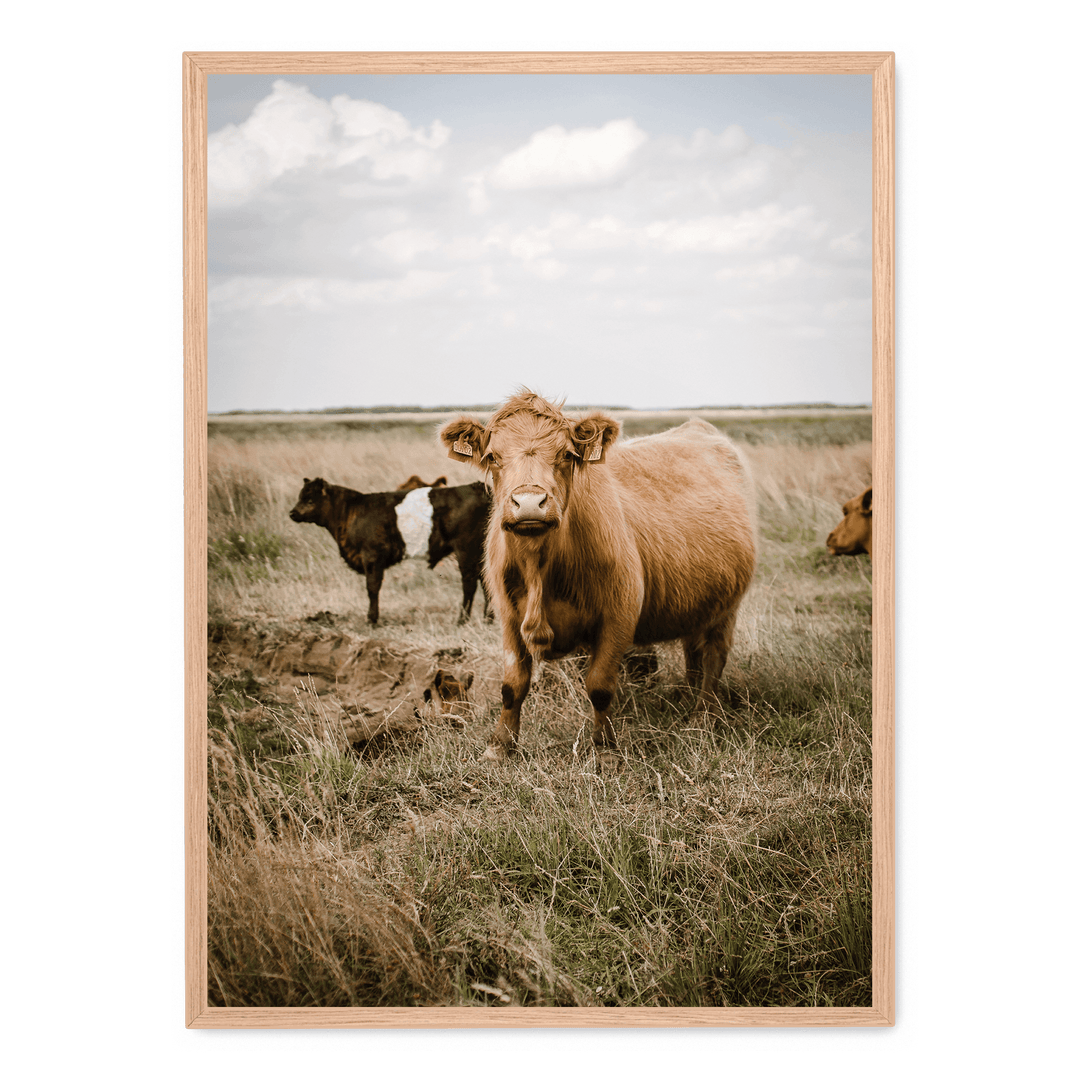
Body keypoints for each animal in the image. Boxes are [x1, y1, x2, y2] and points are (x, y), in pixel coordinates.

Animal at [288, 478, 491, 625]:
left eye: (310, 499)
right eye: (300, 496)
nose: (292, 513)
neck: (350, 512)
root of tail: (476, 486)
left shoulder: (372, 556)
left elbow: (372, 588)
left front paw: (372, 619)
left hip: (465, 549)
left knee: (469, 584)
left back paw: (462, 620)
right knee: (486, 581)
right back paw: (488, 618)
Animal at [439, 391, 756, 761]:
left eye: (566, 454)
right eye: (492, 456)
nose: (529, 503)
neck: (540, 568)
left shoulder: (619, 614)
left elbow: (600, 686)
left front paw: (605, 748)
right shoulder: (507, 616)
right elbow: (512, 685)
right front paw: (500, 746)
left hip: (727, 606)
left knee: (714, 656)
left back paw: (703, 716)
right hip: (698, 600)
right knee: (694, 650)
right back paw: (691, 699)